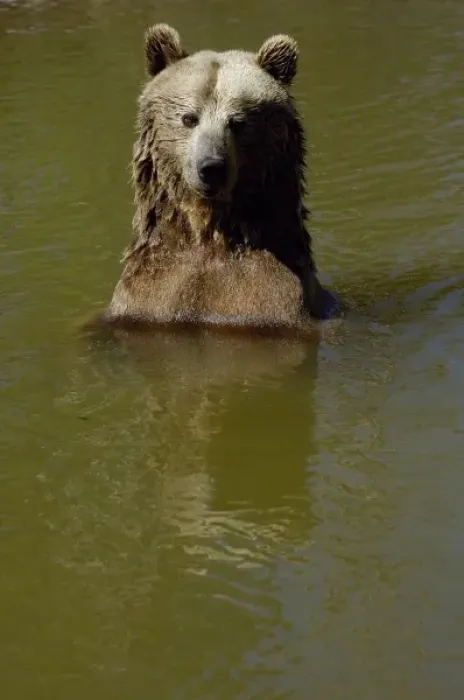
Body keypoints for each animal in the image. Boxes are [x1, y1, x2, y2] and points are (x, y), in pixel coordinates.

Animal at [101, 24, 339, 335]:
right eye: (189, 118)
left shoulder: (275, 303)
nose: (211, 167)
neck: (209, 232)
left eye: (238, 122)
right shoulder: (149, 296)